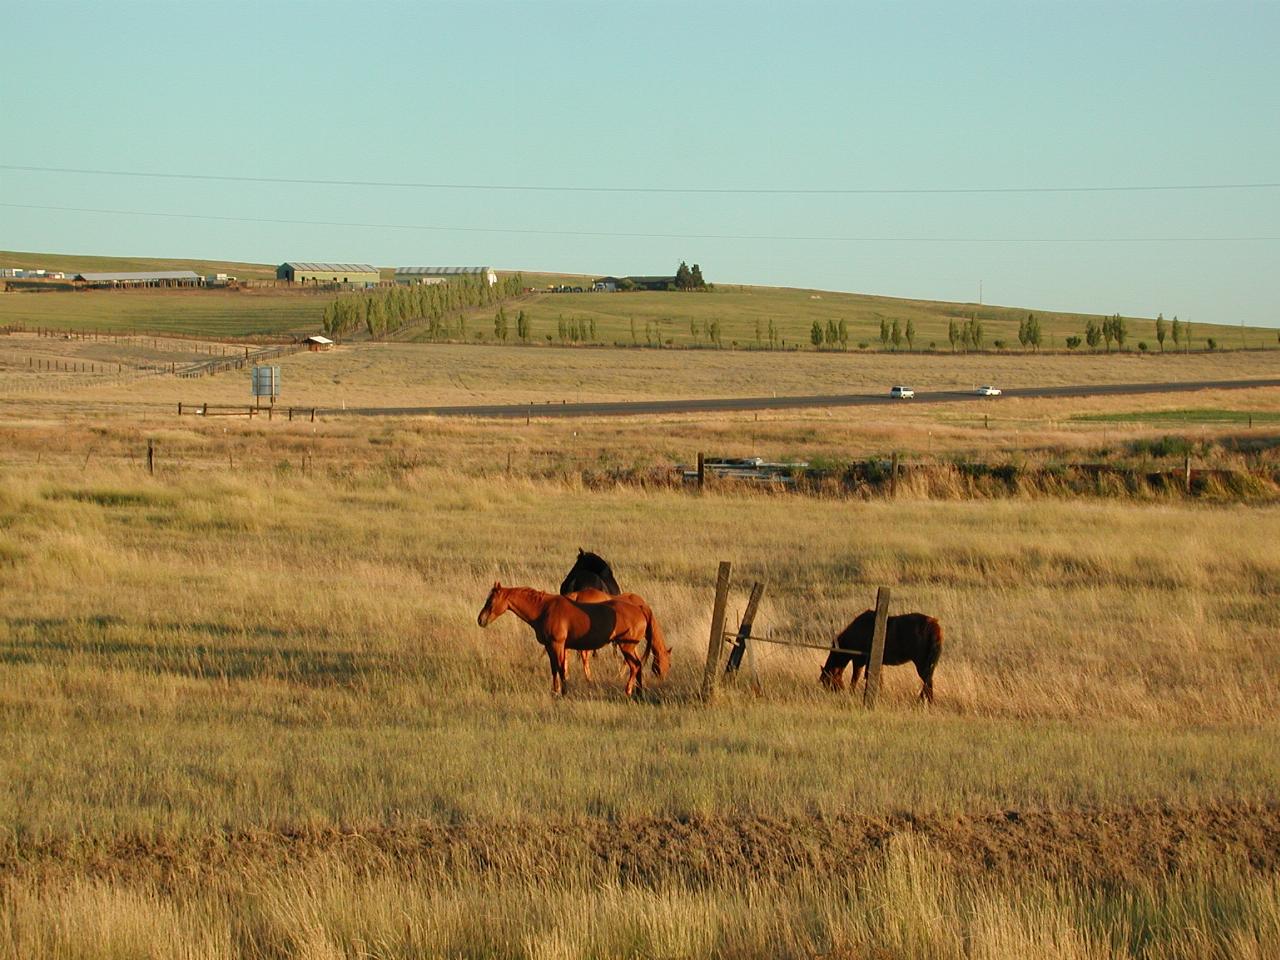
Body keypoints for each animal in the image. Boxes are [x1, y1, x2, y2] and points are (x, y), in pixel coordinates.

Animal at [476, 583, 665, 696]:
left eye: (491, 601)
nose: (480, 620)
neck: (545, 609)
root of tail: (640, 609)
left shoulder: (558, 645)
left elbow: (561, 668)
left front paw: (564, 692)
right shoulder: (550, 647)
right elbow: (554, 669)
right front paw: (555, 691)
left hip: (626, 646)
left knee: (635, 666)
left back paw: (628, 690)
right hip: (629, 647)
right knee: (638, 666)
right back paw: (638, 691)